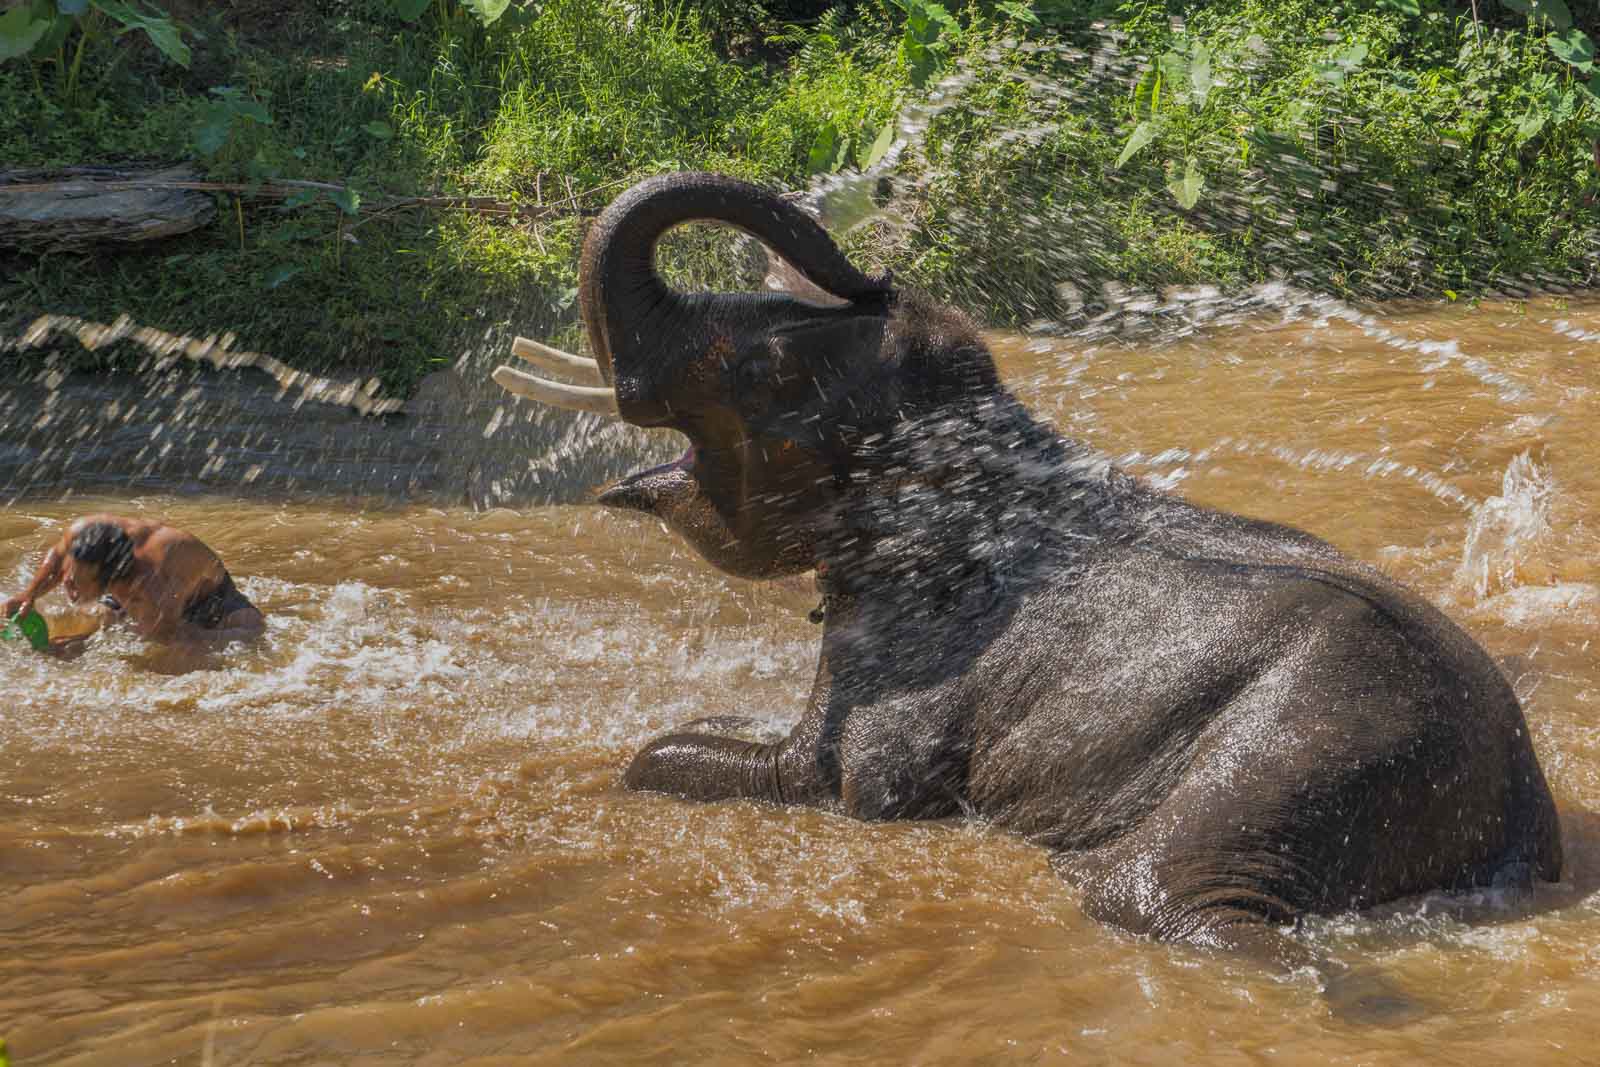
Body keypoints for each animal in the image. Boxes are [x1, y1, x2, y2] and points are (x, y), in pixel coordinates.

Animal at [492, 171, 1555, 1017]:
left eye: (760, 372)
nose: (871, 270)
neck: (970, 456)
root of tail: (1513, 793)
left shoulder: (915, 670)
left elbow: (785, 777)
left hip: (1315, 745)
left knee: (1149, 894)